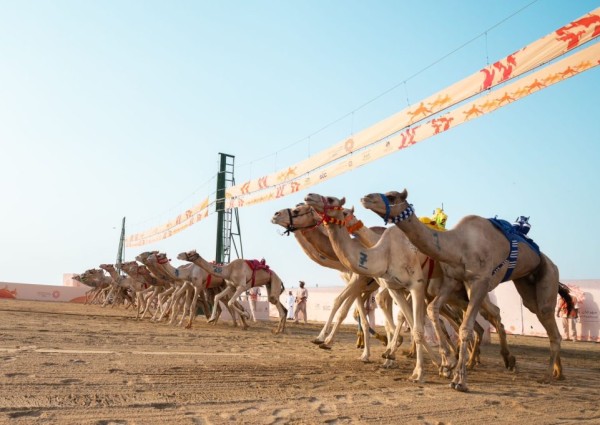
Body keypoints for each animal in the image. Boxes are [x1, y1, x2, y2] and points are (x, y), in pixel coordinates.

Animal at [360, 189, 572, 390]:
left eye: (391, 196)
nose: (365, 198)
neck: (458, 246)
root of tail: (548, 261)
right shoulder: (452, 281)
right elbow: (433, 310)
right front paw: (447, 364)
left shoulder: (479, 281)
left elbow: (464, 328)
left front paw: (459, 380)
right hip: (524, 282)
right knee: (528, 312)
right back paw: (546, 370)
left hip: (547, 274)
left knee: (543, 319)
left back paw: (545, 375)